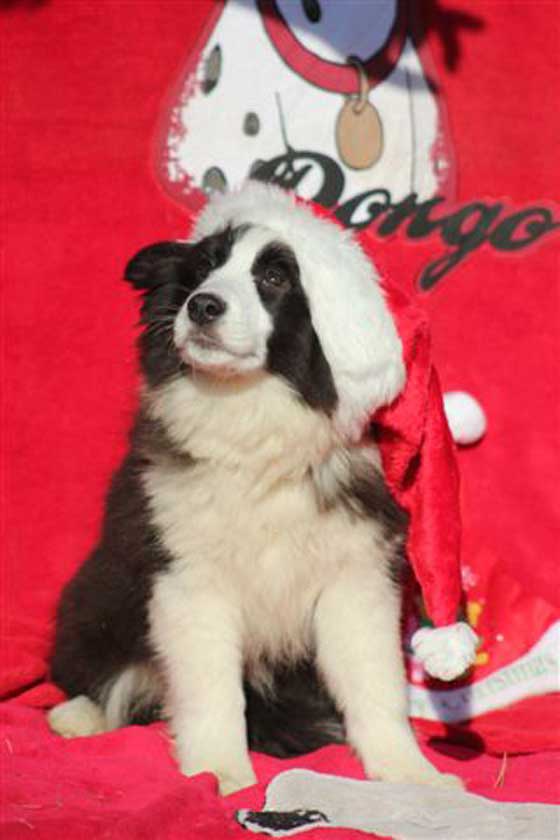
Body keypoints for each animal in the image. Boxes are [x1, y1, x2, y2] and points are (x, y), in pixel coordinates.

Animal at [48, 182, 460, 796]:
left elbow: (376, 685)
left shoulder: (356, 577)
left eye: (275, 278)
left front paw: (410, 773)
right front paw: (218, 771)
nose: (202, 305)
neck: (253, 413)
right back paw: (77, 715)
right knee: (101, 671)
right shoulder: (188, 580)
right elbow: (211, 692)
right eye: (202, 269)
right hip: (92, 596)